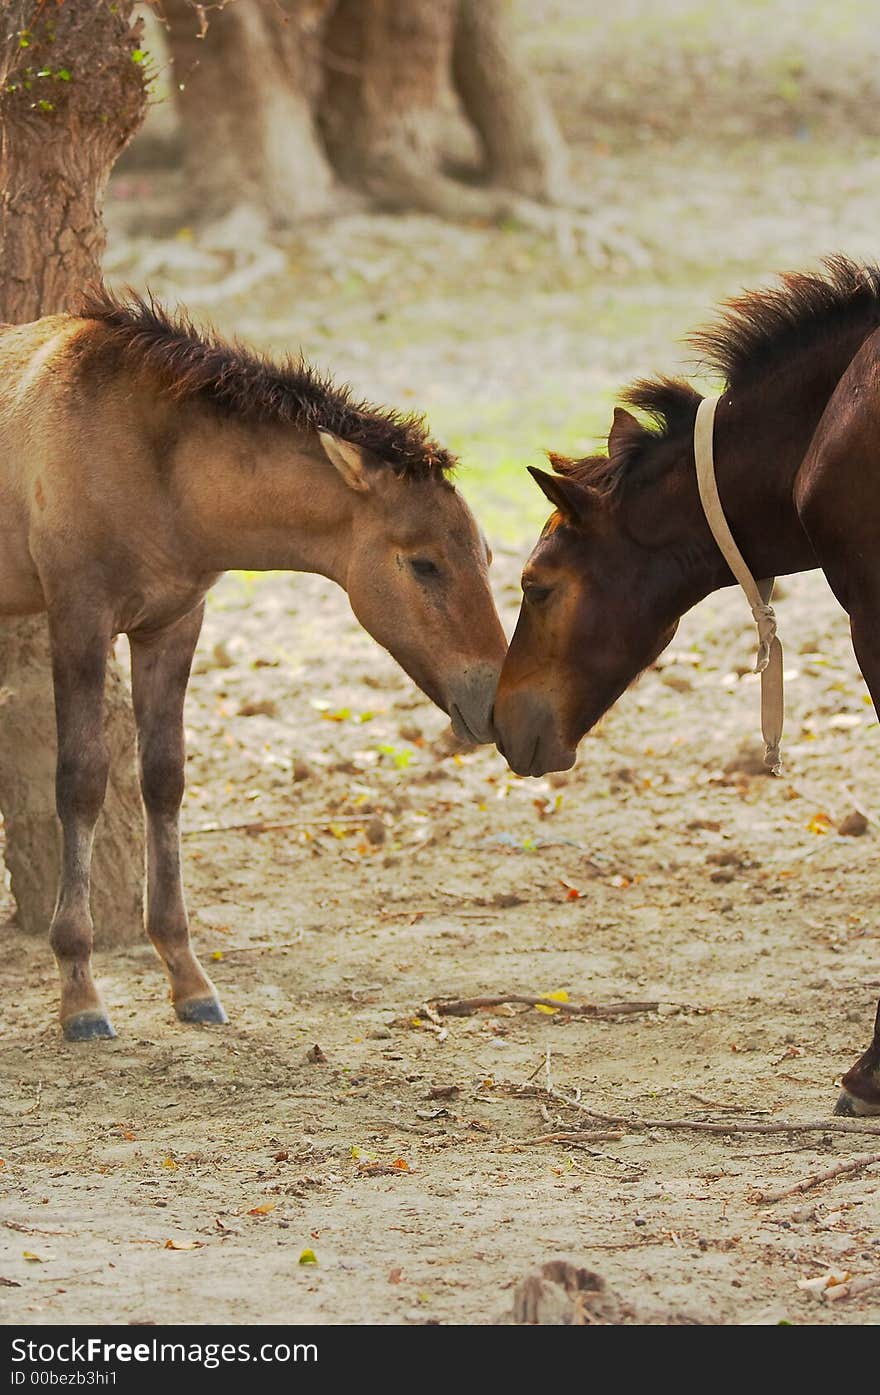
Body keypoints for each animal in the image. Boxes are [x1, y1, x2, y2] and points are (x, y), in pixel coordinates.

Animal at [0, 288, 504, 1043]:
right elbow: (83, 783)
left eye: (487, 555)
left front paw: (188, 980)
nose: (494, 701)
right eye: (423, 563)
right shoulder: (78, 620)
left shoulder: (173, 624)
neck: (155, 468)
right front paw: (80, 994)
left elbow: (164, 781)